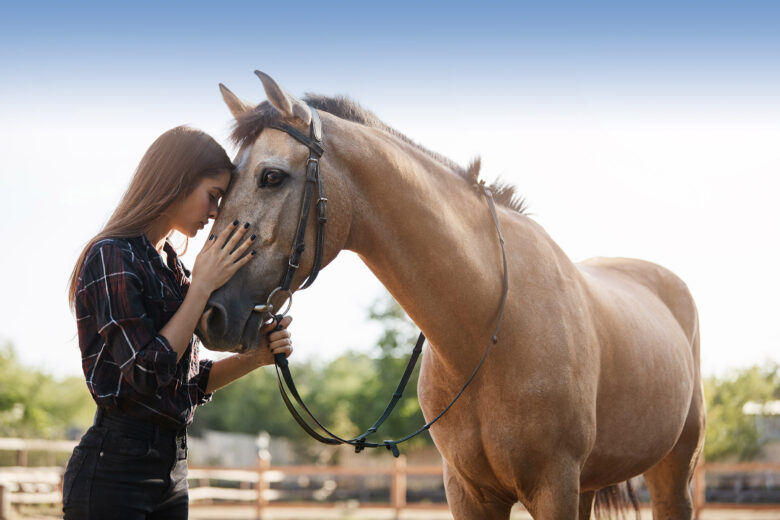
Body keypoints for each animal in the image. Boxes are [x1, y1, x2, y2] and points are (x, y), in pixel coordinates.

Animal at [197, 70, 708, 520]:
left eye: (271, 176)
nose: (211, 314)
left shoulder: (554, 486)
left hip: (672, 470)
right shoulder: (468, 491)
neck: (493, 330)